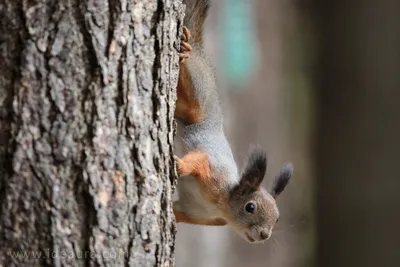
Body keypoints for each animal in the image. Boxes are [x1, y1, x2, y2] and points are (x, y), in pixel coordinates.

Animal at [173, 0, 294, 244]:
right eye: (250, 207)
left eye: (277, 218)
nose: (264, 235)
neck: (223, 206)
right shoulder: (214, 172)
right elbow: (199, 160)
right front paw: (181, 166)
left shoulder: (197, 214)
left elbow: (177, 212)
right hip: (199, 98)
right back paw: (186, 47)